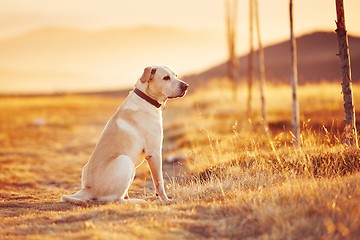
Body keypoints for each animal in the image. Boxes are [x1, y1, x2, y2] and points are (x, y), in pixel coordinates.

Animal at [61, 66, 191, 206]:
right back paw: (137, 201)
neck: (146, 99)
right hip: (124, 160)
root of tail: (87, 188)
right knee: (116, 199)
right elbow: (159, 182)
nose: (186, 86)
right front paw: (166, 200)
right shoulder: (154, 153)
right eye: (166, 78)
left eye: (175, 75)